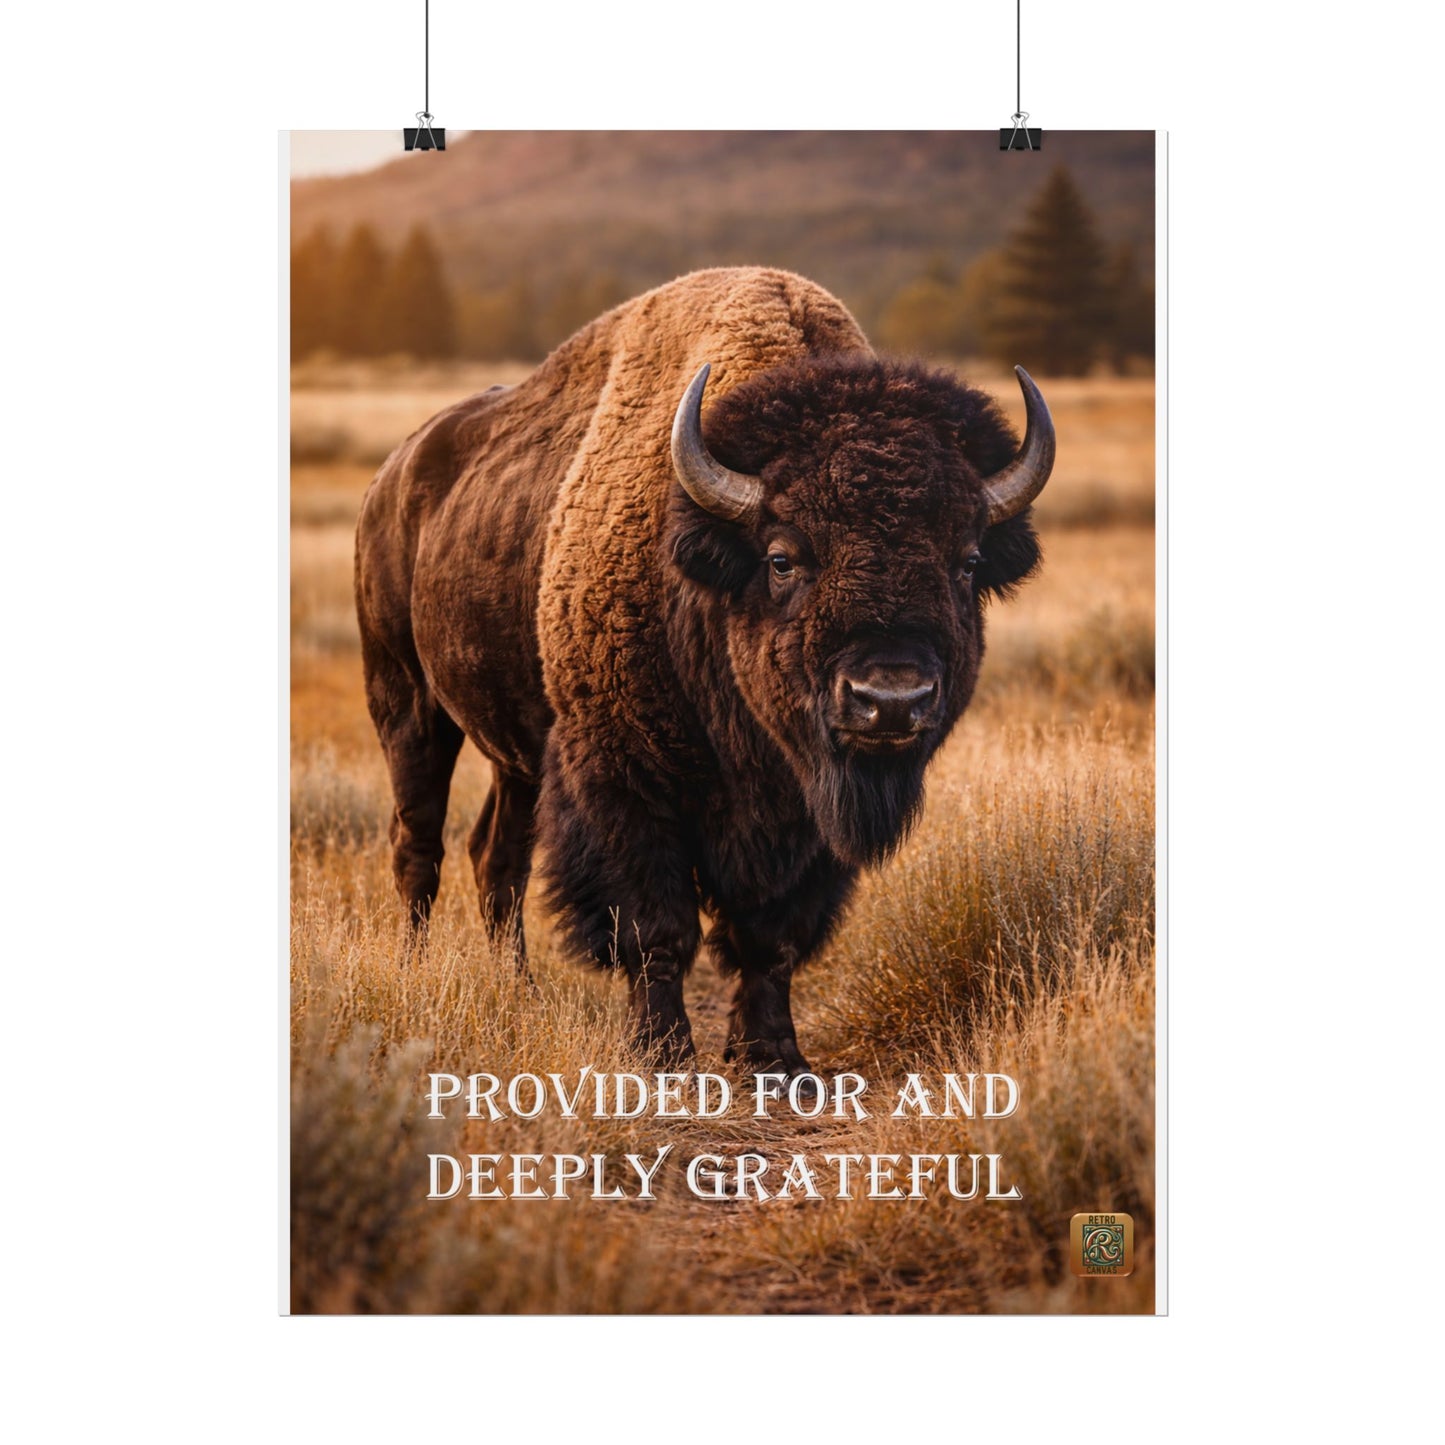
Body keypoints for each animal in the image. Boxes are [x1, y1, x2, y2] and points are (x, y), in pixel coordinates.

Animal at [354, 266, 1054, 1080]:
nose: (889, 700)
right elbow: (656, 928)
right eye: (783, 558)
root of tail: (395, 473)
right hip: (406, 702)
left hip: (516, 754)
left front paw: (776, 1059)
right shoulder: (623, 779)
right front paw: (661, 1054)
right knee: (419, 846)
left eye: (966, 561)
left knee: (495, 857)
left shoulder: (804, 819)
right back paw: (414, 972)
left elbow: (771, 936)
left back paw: (518, 990)